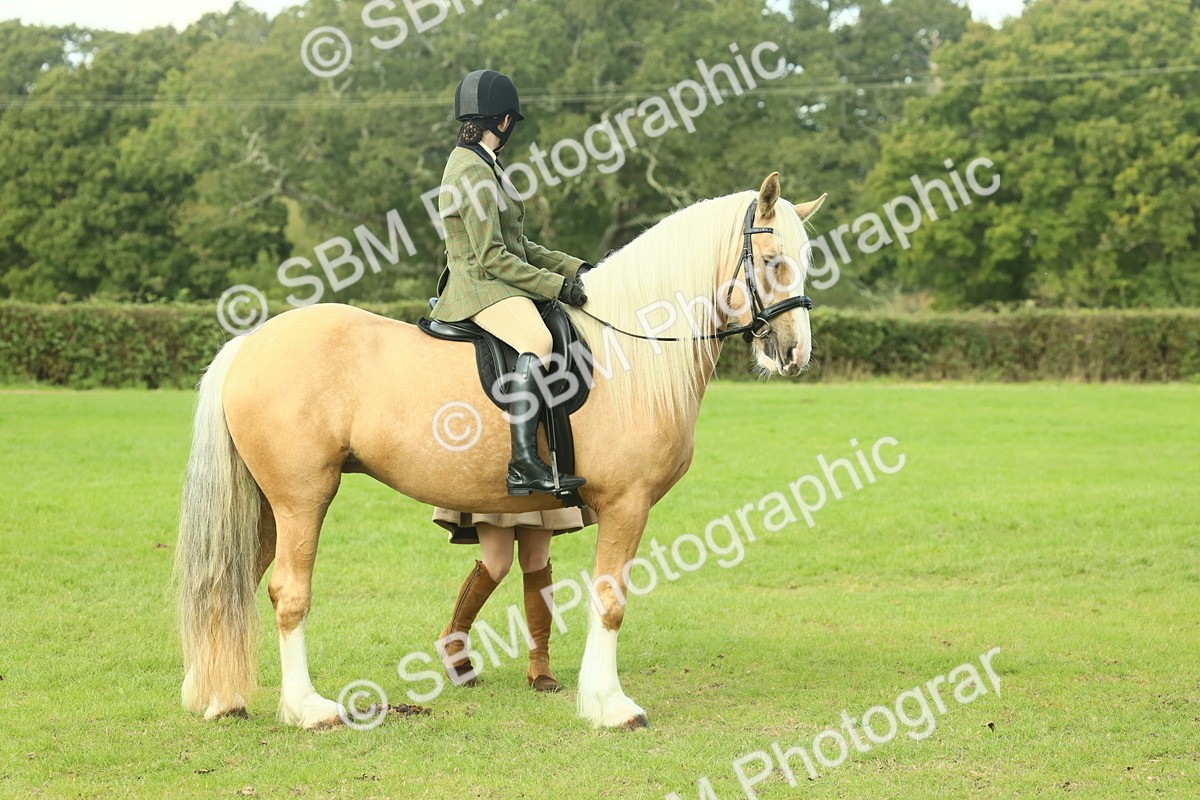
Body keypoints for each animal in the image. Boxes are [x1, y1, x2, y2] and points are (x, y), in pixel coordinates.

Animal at [175, 172, 826, 730]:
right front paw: (611, 706)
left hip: (265, 504)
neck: (629, 349)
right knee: (287, 592)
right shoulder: (628, 503)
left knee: (233, 584)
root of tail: (249, 344)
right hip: (302, 498)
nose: (794, 353)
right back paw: (308, 709)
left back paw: (222, 699)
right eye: (772, 262)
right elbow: (610, 599)